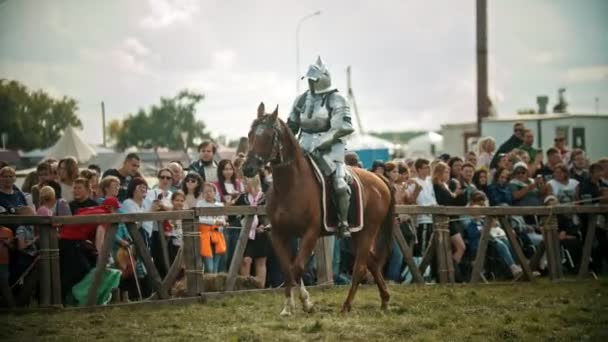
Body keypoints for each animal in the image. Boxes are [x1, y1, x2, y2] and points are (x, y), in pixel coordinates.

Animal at [242, 102, 394, 316]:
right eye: (250, 134)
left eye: (269, 136)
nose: (247, 168)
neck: (290, 186)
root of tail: (379, 180)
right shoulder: (280, 234)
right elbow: (288, 269)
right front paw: (289, 306)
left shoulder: (310, 234)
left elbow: (297, 268)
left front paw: (305, 303)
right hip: (357, 234)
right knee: (371, 262)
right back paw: (385, 300)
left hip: (367, 231)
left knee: (360, 268)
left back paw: (347, 305)